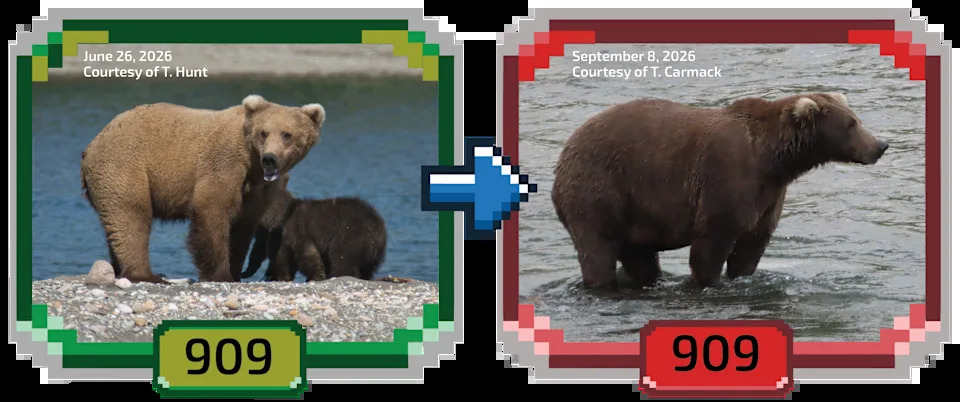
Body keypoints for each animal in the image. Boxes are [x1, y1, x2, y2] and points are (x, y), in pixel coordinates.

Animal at [80, 95, 325, 283]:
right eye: (264, 132)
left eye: (287, 134)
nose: (270, 158)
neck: (252, 163)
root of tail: (92, 144)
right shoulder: (224, 163)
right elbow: (211, 209)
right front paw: (220, 275)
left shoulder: (257, 189)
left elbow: (242, 227)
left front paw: (235, 270)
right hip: (125, 166)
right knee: (132, 216)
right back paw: (146, 274)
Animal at [240, 174, 388, 282]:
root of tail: (376, 226)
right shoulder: (276, 235)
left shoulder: (296, 231)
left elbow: (304, 254)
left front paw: (315, 277)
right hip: (374, 252)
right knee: (367, 268)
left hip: (349, 237)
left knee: (342, 261)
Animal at [550, 92, 888, 290]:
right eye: (851, 123)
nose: (880, 145)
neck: (772, 159)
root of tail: (565, 151)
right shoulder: (726, 178)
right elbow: (712, 243)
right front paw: (708, 280)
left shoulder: (767, 195)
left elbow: (752, 246)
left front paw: (742, 274)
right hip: (600, 189)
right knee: (597, 249)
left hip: (635, 214)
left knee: (640, 256)